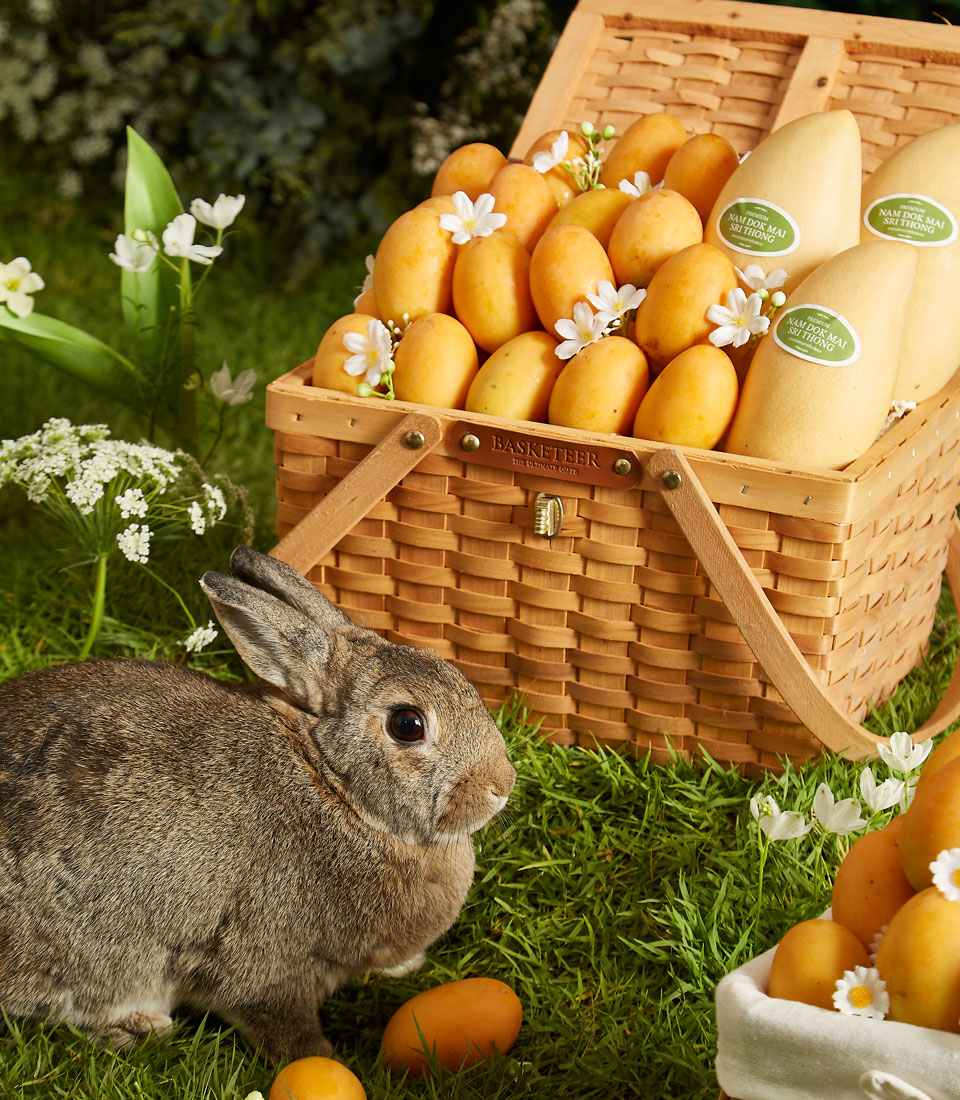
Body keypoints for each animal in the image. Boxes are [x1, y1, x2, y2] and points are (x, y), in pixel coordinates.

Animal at [0, 545, 516, 1059]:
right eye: (407, 724)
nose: (502, 784)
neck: (336, 790)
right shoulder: (265, 963)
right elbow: (280, 1021)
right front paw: (324, 1057)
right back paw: (137, 1027)